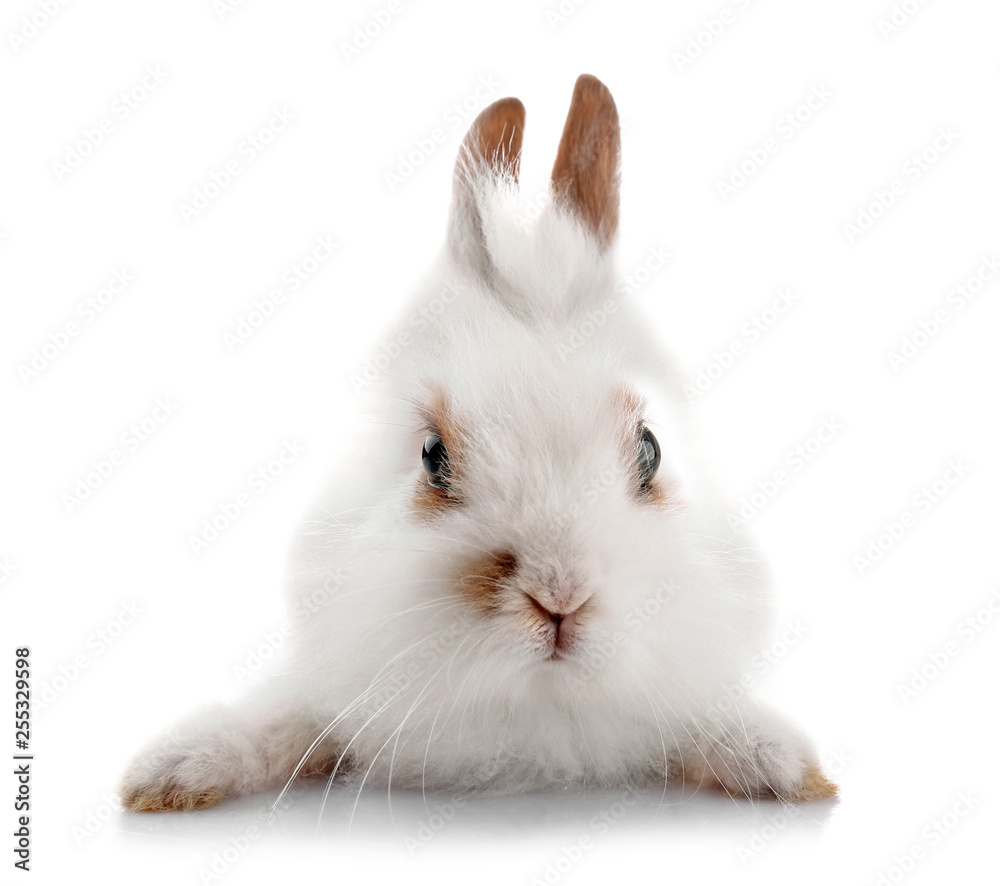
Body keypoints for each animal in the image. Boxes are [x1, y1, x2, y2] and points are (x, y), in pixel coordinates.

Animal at [119, 74, 836, 812]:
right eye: (433, 456)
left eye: (650, 451)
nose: (559, 597)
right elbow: (282, 718)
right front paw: (170, 772)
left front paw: (784, 764)